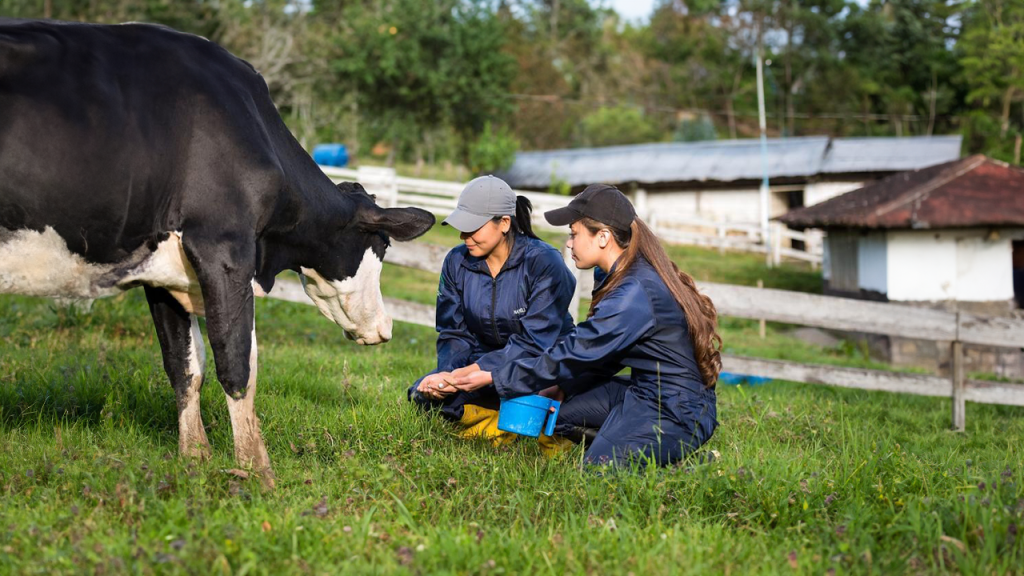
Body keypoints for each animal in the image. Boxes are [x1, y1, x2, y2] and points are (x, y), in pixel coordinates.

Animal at [0, 19, 434, 483]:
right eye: (383, 246)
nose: (386, 327)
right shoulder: (223, 247)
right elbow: (236, 361)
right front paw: (257, 473)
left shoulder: (163, 272)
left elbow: (184, 365)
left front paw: (195, 458)